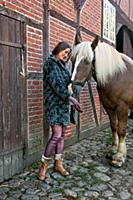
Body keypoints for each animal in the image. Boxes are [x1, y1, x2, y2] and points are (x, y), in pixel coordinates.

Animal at [70, 30, 133, 166]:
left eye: (87, 61)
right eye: (72, 59)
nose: (72, 87)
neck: (117, 76)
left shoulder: (123, 108)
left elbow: (121, 130)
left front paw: (119, 156)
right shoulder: (109, 107)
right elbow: (114, 127)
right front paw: (113, 150)